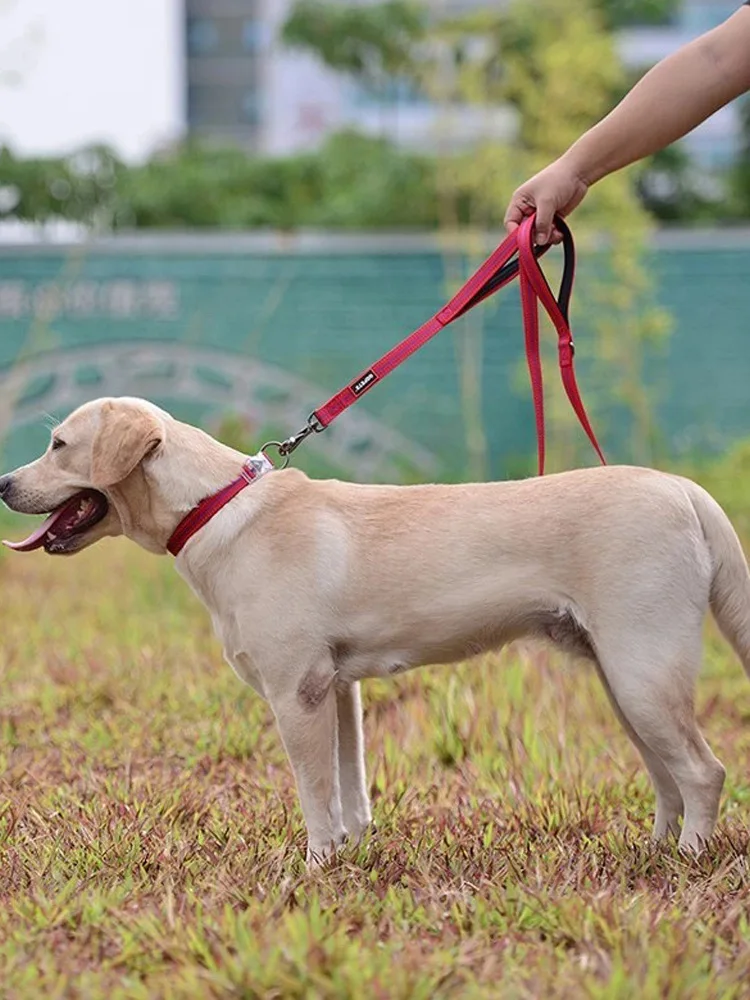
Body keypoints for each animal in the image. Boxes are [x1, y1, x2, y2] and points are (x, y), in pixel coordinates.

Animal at [1, 394, 750, 864]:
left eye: (59, 445)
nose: (2, 483)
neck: (213, 508)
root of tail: (688, 491)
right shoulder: (338, 690)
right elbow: (350, 790)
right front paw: (350, 855)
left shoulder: (296, 693)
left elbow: (314, 792)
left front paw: (312, 867)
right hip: (625, 684)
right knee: (668, 779)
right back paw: (652, 853)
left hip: (644, 676)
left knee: (704, 773)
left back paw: (688, 860)